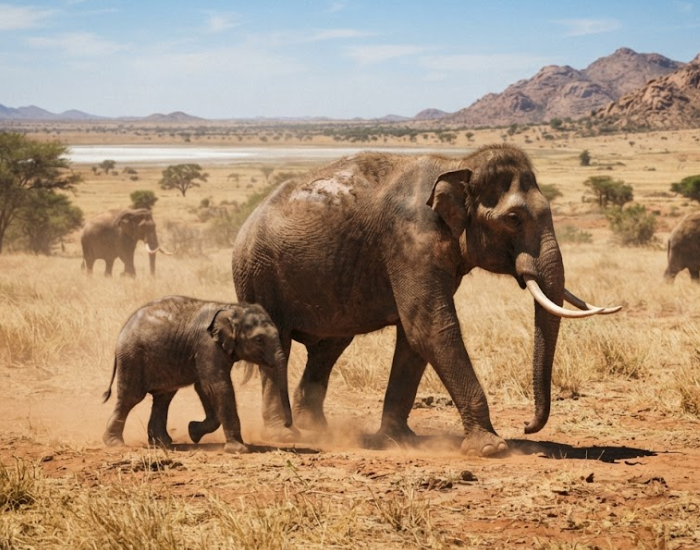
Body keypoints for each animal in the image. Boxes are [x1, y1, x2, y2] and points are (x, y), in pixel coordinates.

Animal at [102, 295, 293, 453]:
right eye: (259, 340)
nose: (287, 424)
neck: (232, 309)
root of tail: (123, 330)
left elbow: (204, 387)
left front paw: (193, 431)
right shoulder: (207, 344)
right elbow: (217, 385)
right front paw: (239, 450)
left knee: (163, 397)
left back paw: (162, 443)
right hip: (132, 357)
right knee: (131, 397)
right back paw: (115, 444)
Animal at [231, 144, 620, 457]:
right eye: (513, 218)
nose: (526, 425)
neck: (460, 165)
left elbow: (414, 338)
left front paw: (398, 439)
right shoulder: (409, 241)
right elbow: (431, 327)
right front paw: (491, 448)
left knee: (328, 348)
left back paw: (318, 431)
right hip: (258, 274)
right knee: (280, 343)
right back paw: (284, 434)